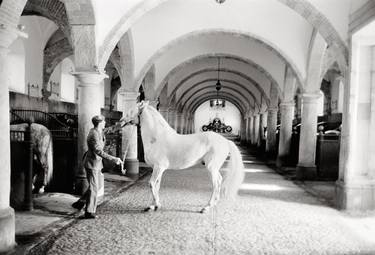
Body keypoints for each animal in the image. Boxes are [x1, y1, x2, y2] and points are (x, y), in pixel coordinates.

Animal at [118, 100, 247, 212]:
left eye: (131, 110)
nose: (120, 121)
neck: (156, 138)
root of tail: (225, 141)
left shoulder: (159, 167)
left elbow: (151, 184)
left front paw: (155, 206)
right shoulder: (158, 169)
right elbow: (157, 185)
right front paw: (154, 205)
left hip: (212, 167)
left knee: (216, 183)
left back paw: (206, 207)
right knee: (219, 182)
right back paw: (214, 204)